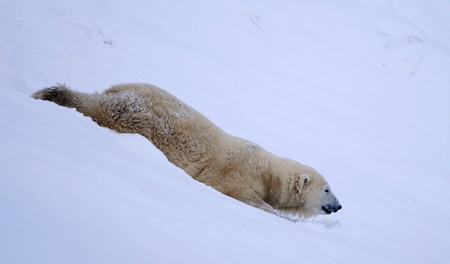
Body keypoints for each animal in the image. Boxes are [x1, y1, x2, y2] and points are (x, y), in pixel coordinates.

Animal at [32, 83, 342, 218]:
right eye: (327, 188)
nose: (339, 206)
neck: (269, 172)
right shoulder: (237, 174)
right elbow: (241, 195)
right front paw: (274, 213)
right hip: (141, 116)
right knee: (105, 110)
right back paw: (54, 93)